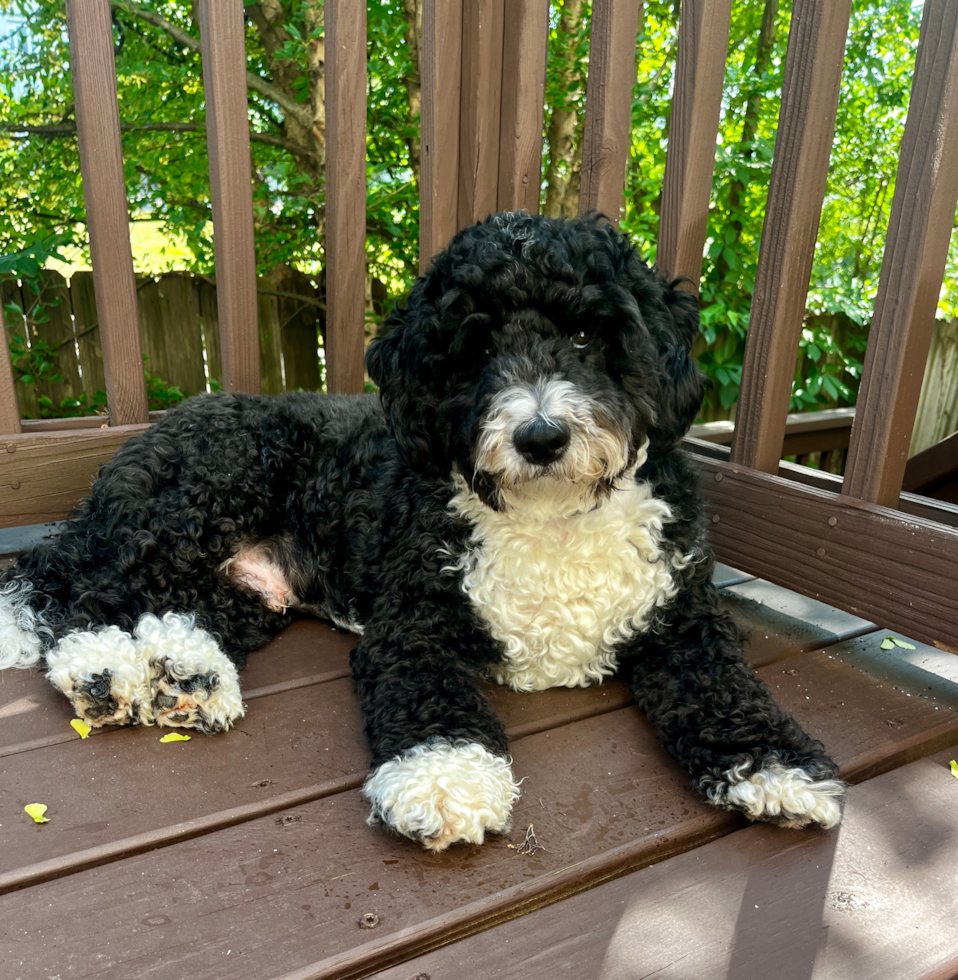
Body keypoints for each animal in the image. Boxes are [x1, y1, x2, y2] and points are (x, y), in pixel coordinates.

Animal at [0, 211, 844, 848]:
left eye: (584, 338)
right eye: (476, 349)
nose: (541, 436)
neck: (550, 519)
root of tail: (145, 438)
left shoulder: (685, 618)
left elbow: (723, 687)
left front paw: (779, 767)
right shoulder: (413, 627)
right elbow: (431, 703)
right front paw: (445, 781)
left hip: (245, 579)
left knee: (179, 606)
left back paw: (185, 673)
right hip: (195, 499)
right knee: (77, 591)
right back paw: (101, 668)